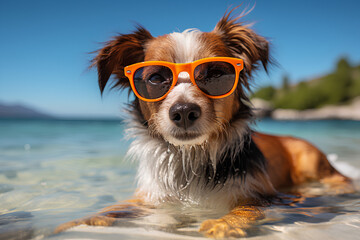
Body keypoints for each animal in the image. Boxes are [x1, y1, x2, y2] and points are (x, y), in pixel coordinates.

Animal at [54, 8, 352, 237]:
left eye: (216, 74)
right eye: (155, 78)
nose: (184, 111)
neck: (190, 160)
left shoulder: (264, 195)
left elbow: (246, 208)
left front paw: (224, 225)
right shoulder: (151, 197)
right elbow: (112, 209)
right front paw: (72, 223)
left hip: (311, 160)